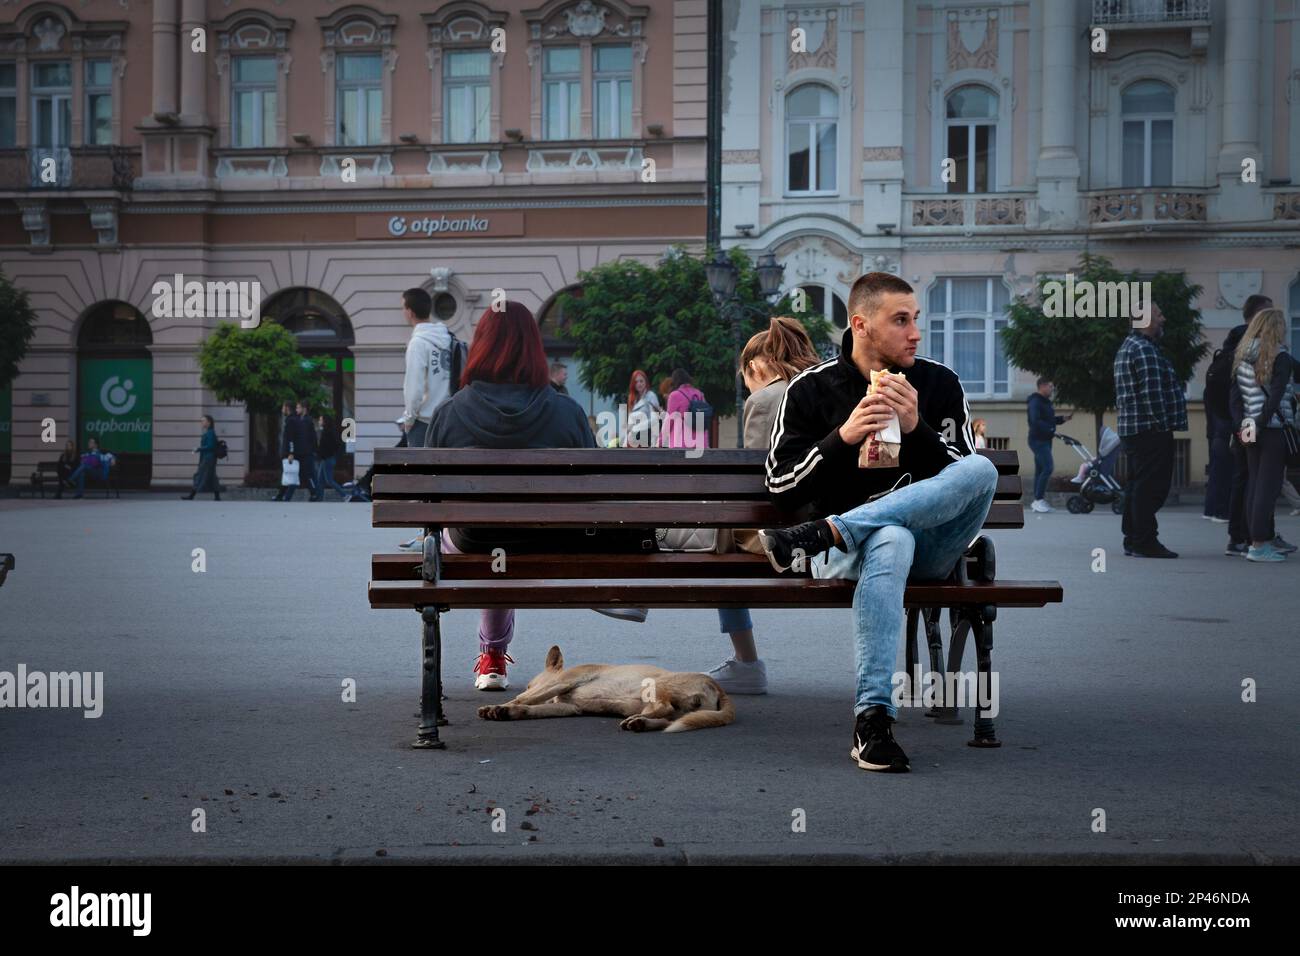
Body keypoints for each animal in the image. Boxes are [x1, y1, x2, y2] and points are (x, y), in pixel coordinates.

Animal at [478, 647, 738, 738]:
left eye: (529, 684)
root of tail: (718, 687)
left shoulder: (564, 681)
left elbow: (523, 699)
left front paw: (499, 707)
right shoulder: (569, 707)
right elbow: (529, 707)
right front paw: (508, 712)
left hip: (655, 686)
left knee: (662, 707)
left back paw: (638, 719)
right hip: (678, 713)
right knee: (665, 719)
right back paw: (640, 723)